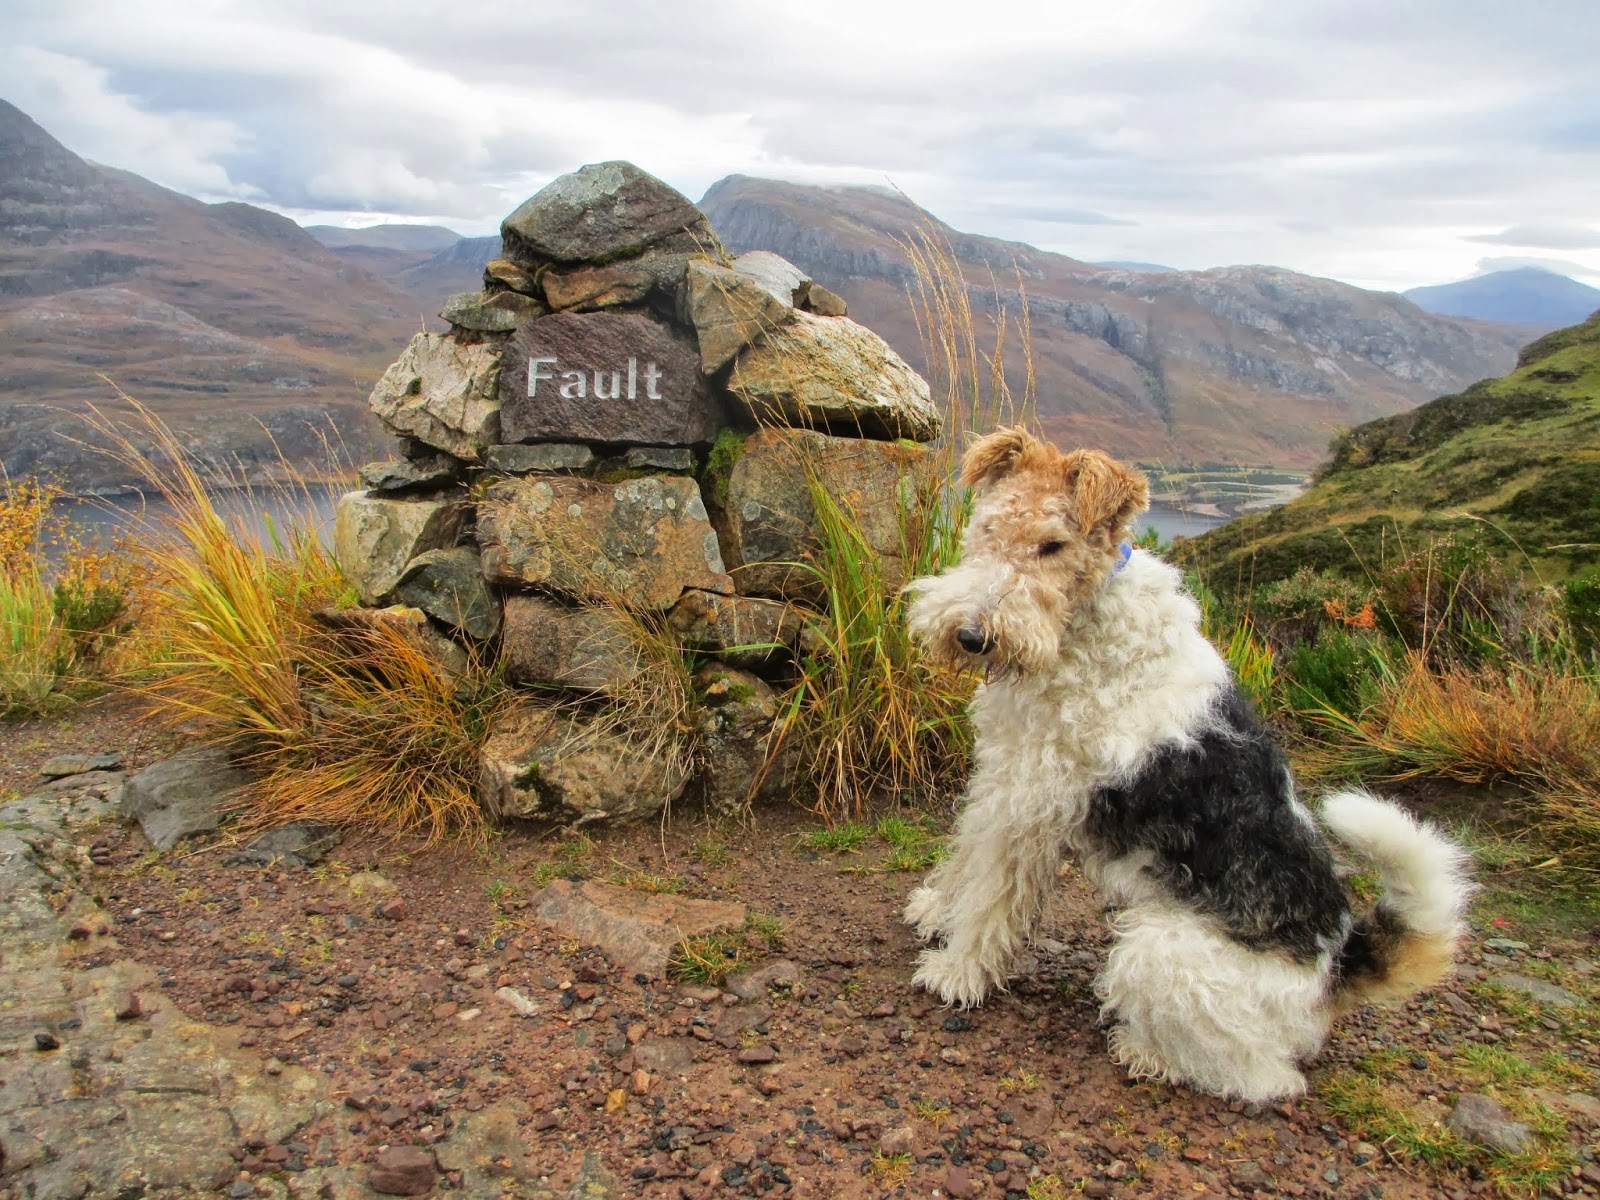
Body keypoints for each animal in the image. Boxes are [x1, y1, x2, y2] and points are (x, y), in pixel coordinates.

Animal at [901, 428, 1470, 1102]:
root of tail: (1334, 964)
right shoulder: (1003, 773)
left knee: (1265, 1075)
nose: (972, 636)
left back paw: (1146, 1053)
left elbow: (992, 899)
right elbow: (966, 858)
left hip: (1161, 952)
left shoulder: (1033, 802)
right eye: (988, 525)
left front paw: (956, 972)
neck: (1083, 621)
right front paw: (936, 910)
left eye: (1053, 545)